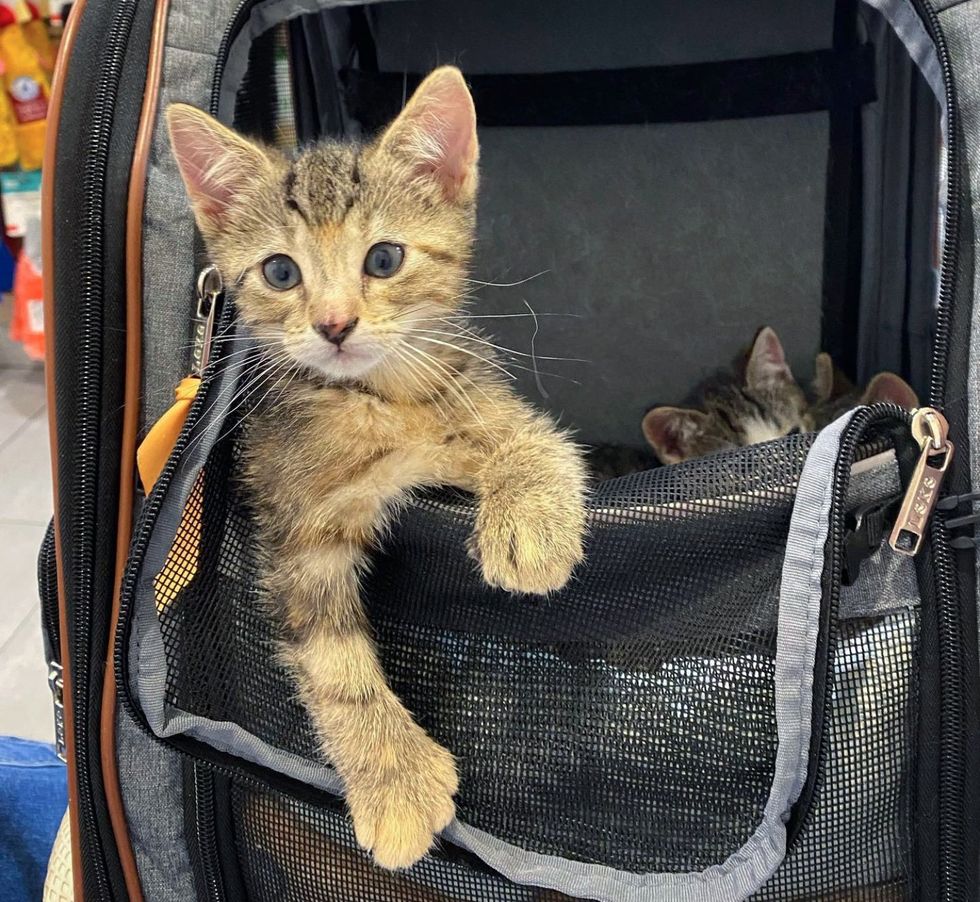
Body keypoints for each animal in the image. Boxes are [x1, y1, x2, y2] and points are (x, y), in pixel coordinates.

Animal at [167, 67, 588, 872]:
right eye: (280, 271)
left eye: (384, 259)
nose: (335, 324)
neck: (377, 397)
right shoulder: (294, 532)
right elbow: (332, 664)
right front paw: (393, 779)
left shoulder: (476, 392)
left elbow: (527, 434)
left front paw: (530, 518)